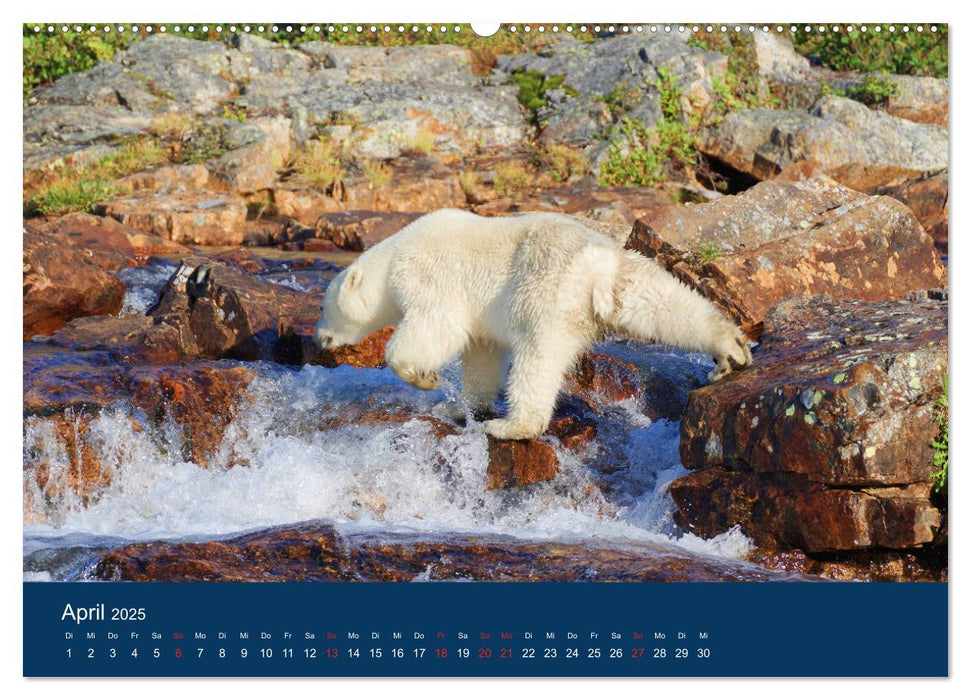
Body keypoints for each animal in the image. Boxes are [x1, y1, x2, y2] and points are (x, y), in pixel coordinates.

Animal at [318, 208, 752, 438]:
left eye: (326, 307)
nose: (320, 338)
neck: (394, 254)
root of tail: (593, 266)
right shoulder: (480, 318)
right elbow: (481, 354)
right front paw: (462, 405)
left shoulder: (429, 275)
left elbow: (437, 324)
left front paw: (425, 378)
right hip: (619, 274)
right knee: (660, 299)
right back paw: (730, 349)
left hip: (546, 294)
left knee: (537, 360)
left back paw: (511, 426)